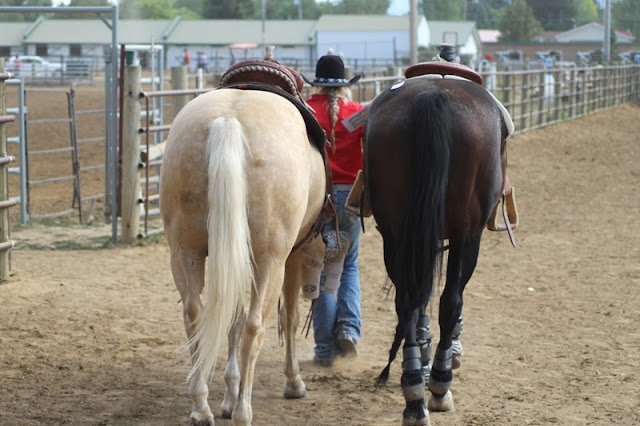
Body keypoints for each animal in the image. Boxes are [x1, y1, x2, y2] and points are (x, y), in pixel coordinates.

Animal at [159, 85, 328, 424]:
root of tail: (228, 121)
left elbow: (231, 321)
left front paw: (228, 393)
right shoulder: (291, 257)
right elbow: (288, 317)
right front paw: (293, 382)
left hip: (185, 252)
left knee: (194, 315)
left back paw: (201, 407)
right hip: (271, 262)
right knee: (254, 326)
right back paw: (243, 411)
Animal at [364, 69, 510, 422]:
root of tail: (434, 96)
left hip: (396, 234)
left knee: (407, 301)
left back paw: (414, 390)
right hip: (465, 235)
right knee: (450, 301)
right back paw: (439, 385)